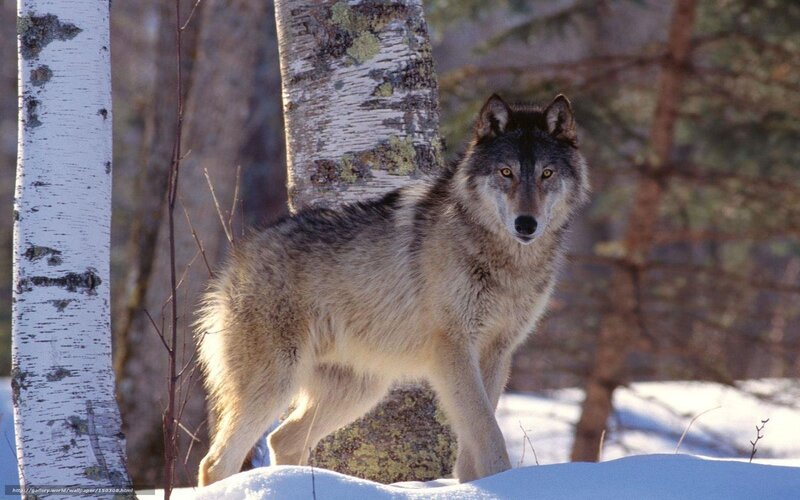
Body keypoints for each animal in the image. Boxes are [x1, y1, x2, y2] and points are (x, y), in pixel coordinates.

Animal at [196, 93, 590, 486]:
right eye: (506, 173)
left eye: (547, 174)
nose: (526, 224)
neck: (507, 263)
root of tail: (236, 259)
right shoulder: (453, 349)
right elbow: (488, 432)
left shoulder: (496, 353)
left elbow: (475, 438)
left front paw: (474, 487)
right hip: (277, 383)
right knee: (215, 462)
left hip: (360, 392)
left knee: (281, 439)